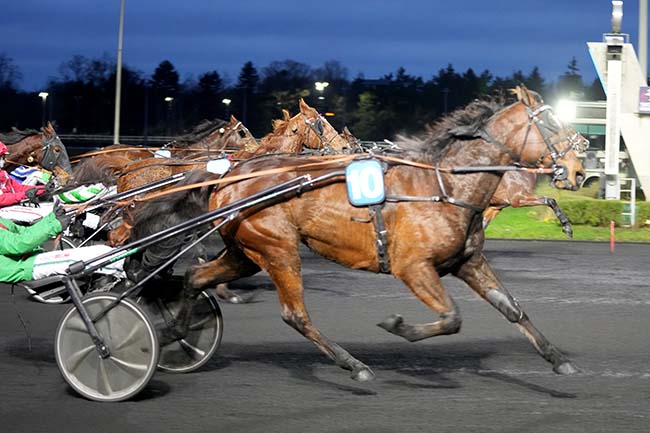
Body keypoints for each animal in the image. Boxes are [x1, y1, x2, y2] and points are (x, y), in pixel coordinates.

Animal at [135, 86, 584, 380]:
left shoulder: (468, 261)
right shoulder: (413, 267)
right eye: (551, 123)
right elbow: (452, 317)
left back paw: (176, 333)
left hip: (246, 252)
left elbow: (513, 310)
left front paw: (559, 359)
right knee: (294, 314)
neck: (445, 187)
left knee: (197, 276)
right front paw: (399, 326)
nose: (578, 170)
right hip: (278, 248)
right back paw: (352, 364)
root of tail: (229, 175)